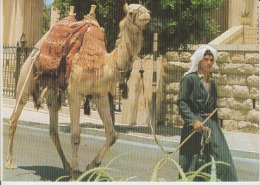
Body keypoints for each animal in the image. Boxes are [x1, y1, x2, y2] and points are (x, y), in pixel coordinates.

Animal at [5, 3, 150, 181]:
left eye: (143, 7)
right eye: (131, 12)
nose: (146, 14)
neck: (105, 64)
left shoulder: (100, 95)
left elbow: (112, 134)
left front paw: (90, 166)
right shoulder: (74, 93)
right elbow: (75, 136)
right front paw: (76, 174)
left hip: (52, 92)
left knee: (53, 130)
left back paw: (66, 167)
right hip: (26, 77)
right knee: (14, 117)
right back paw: (10, 162)